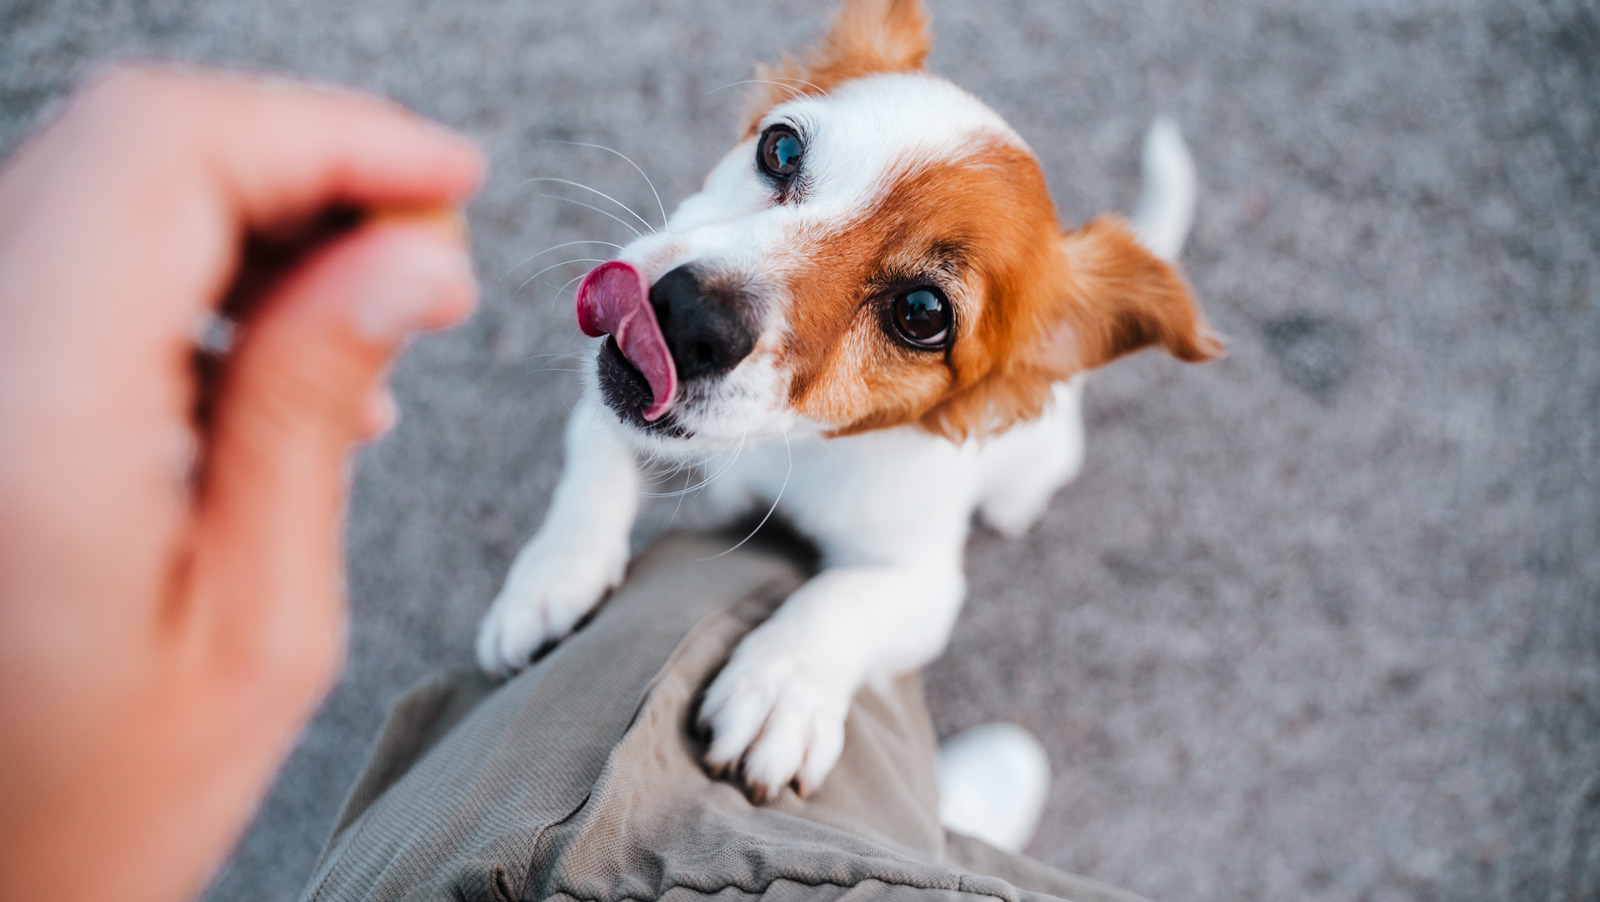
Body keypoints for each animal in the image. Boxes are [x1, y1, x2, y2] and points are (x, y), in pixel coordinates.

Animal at [480, 0, 1216, 802]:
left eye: (922, 313)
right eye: (779, 148)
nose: (688, 316)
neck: (783, 446)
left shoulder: (925, 584)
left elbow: (845, 598)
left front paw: (781, 688)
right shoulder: (615, 411)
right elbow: (595, 465)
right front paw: (552, 579)